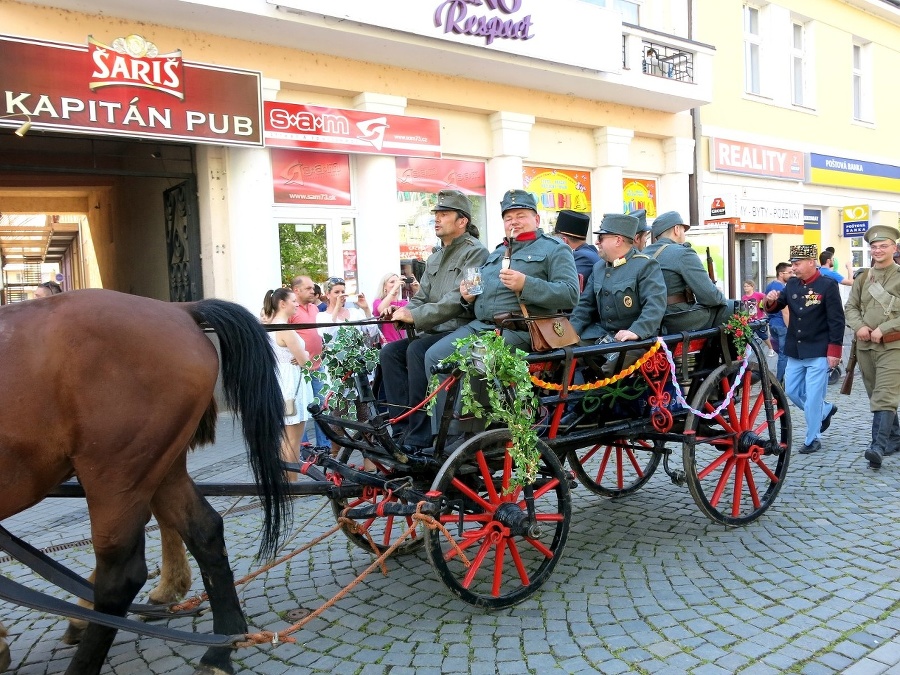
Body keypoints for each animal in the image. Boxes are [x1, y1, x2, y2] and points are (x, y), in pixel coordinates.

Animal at [0, 292, 288, 675]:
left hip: (117, 474)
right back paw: (220, 649)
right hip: (161, 466)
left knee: (122, 575)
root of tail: (178, 309)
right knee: (204, 532)